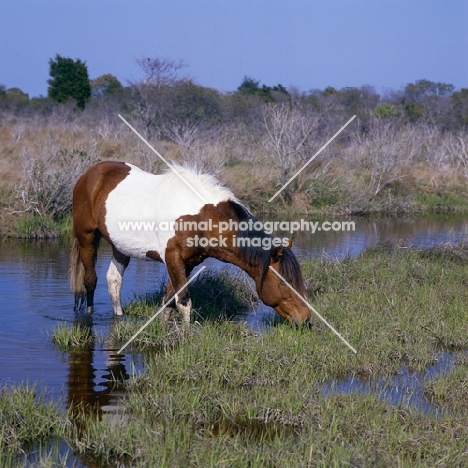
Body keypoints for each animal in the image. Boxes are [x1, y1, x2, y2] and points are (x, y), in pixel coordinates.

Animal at [70, 161, 310, 326]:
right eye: (285, 281)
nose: (306, 318)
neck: (199, 217)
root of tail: (90, 173)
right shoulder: (172, 258)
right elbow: (183, 301)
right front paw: (186, 338)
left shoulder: (188, 262)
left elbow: (169, 299)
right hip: (87, 237)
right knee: (90, 280)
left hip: (120, 247)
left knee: (114, 281)